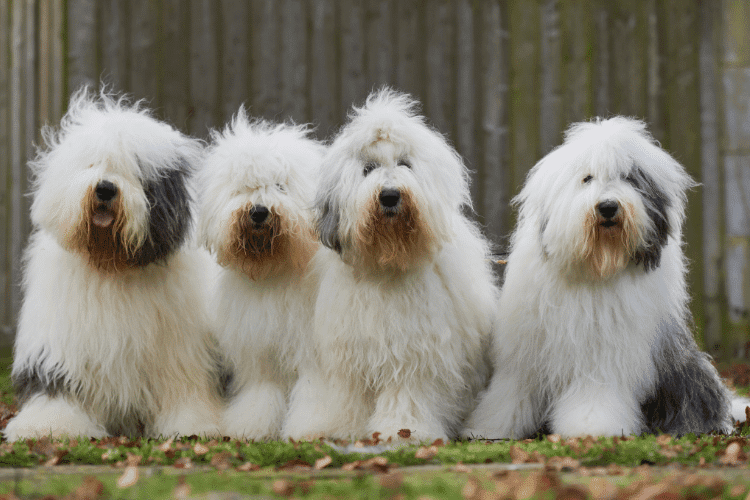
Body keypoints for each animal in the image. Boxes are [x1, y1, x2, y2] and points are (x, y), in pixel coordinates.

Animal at [5, 90, 223, 442]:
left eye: (134, 170)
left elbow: (185, 388)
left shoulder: (180, 352)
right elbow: (58, 386)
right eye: (93, 163)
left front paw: (195, 425)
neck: (112, 263)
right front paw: (48, 425)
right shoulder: (61, 346)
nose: (106, 188)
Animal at [200, 108, 326, 438]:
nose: (258, 211)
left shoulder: (310, 353)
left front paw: (309, 427)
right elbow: (262, 393)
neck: (275, 272)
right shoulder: (259, 351)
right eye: (243, 188)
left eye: (281, 186)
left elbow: (313, 392)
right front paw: (251, 426)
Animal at [282, 89, 500, 442]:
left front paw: (401, 431)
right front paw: (340, 429)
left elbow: (406, 395)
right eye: (368, 168)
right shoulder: (350, 353)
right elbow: (347, 396)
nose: (389, 196)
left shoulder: (414, 353)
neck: (386, 264)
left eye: (405, 164)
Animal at [464, 117, 748, 438]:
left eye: (628, 178)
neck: (596, 266)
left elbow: (595, 393)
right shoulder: (524, 355)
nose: (609, 206)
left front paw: (590, 426)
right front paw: (488, 428)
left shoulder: (603, 357)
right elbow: (510, 392)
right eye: (587, 179)